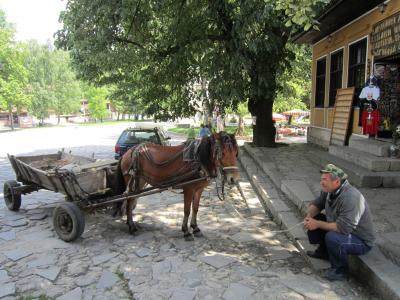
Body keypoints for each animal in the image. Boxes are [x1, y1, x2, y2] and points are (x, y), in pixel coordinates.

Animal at [113, 132, 241, 240]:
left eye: (236, 153)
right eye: (222, 153)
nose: (233, 179)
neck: (198, 160)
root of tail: (129, 151)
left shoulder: (199, 190)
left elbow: (195, 209)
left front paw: (195, 228)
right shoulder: (189, 189)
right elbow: (187, 210)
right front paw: (186, 231)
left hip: (140, 182)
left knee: (132, 200)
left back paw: (130, 224)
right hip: (131, 180)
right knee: (129, 201)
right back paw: (131, 226)